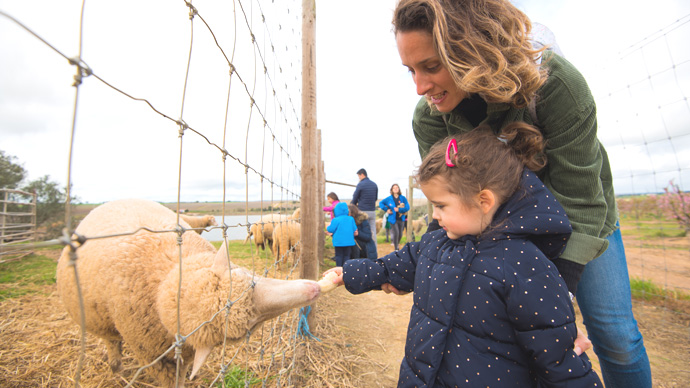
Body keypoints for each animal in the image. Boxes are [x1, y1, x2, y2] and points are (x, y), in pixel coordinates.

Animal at [55, 200, 320, 388]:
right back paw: (116, 366)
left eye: (247, 276)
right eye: (248, 329)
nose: (314, 289)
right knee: (112, 341)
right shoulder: (158, 357)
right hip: (103, 321)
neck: (165, 279)